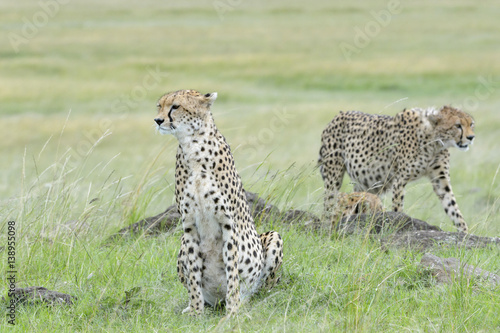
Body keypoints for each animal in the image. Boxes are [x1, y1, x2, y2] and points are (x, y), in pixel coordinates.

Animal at [154, 89, 284, 316]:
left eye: (175, 106)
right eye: (159, 106)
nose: (158, 120)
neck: (192, 147)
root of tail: (217, 301)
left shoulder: (228, 224)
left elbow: (232, 270)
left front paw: (233, 311)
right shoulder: (189, 226)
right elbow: (194, 273)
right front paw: (196, 311)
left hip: (273, 238)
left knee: (261, 287)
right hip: (181, 244)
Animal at [318, 105, 474, 232]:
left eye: (471, 124)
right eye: (458, 125)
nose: (471, 137)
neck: (434, 141)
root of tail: (338, 115)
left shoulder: (441, 181)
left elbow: (453, 208)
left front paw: (464, 233)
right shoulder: (399, 180)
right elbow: (398, 208)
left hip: (365, 185)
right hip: (334, 177)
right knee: (328, 206)